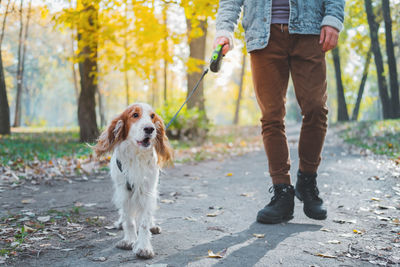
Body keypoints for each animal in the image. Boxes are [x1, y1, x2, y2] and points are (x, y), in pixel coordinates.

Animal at [95, 103, 173, 260]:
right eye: (135, 115)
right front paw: (129, 240)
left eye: (152, 116)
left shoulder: (147, 191)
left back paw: (153, 225)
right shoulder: (124, 191)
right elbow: (129, 220)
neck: (137, 156)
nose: (150, 128)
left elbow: (143, 222)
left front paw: (144, 247)